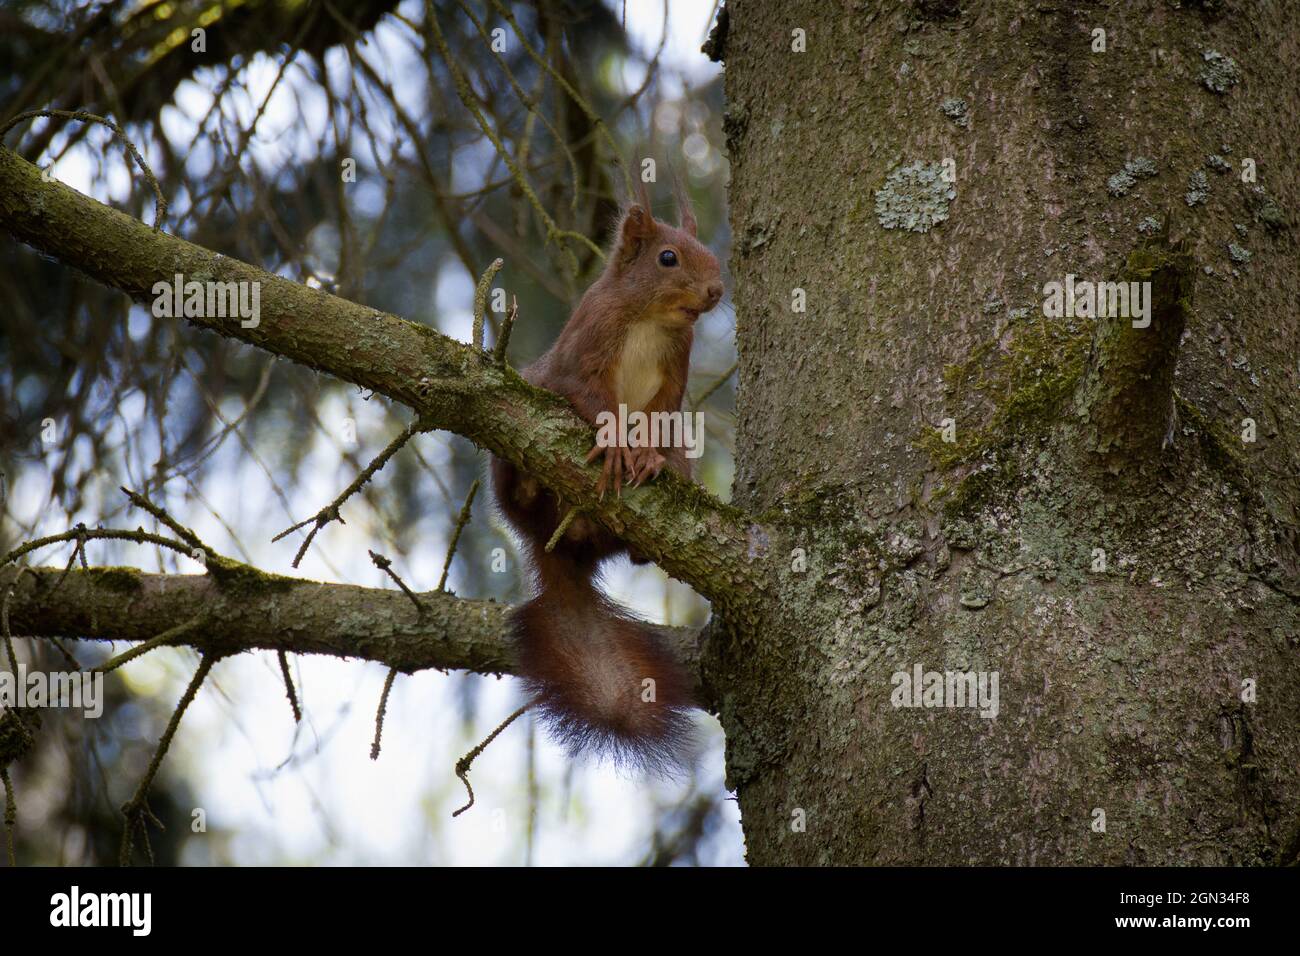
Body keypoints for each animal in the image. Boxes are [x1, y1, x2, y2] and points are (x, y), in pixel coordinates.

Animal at [491, 188, 728, 780]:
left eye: (710, 254)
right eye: (668, 258)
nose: (715, 291)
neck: (652, 320)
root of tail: (560, 547)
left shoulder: (673, 378)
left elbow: (660, 416)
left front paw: (646, 458)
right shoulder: (585, 350)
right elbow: (588, 393)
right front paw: (618, 445)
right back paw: (528, 487)